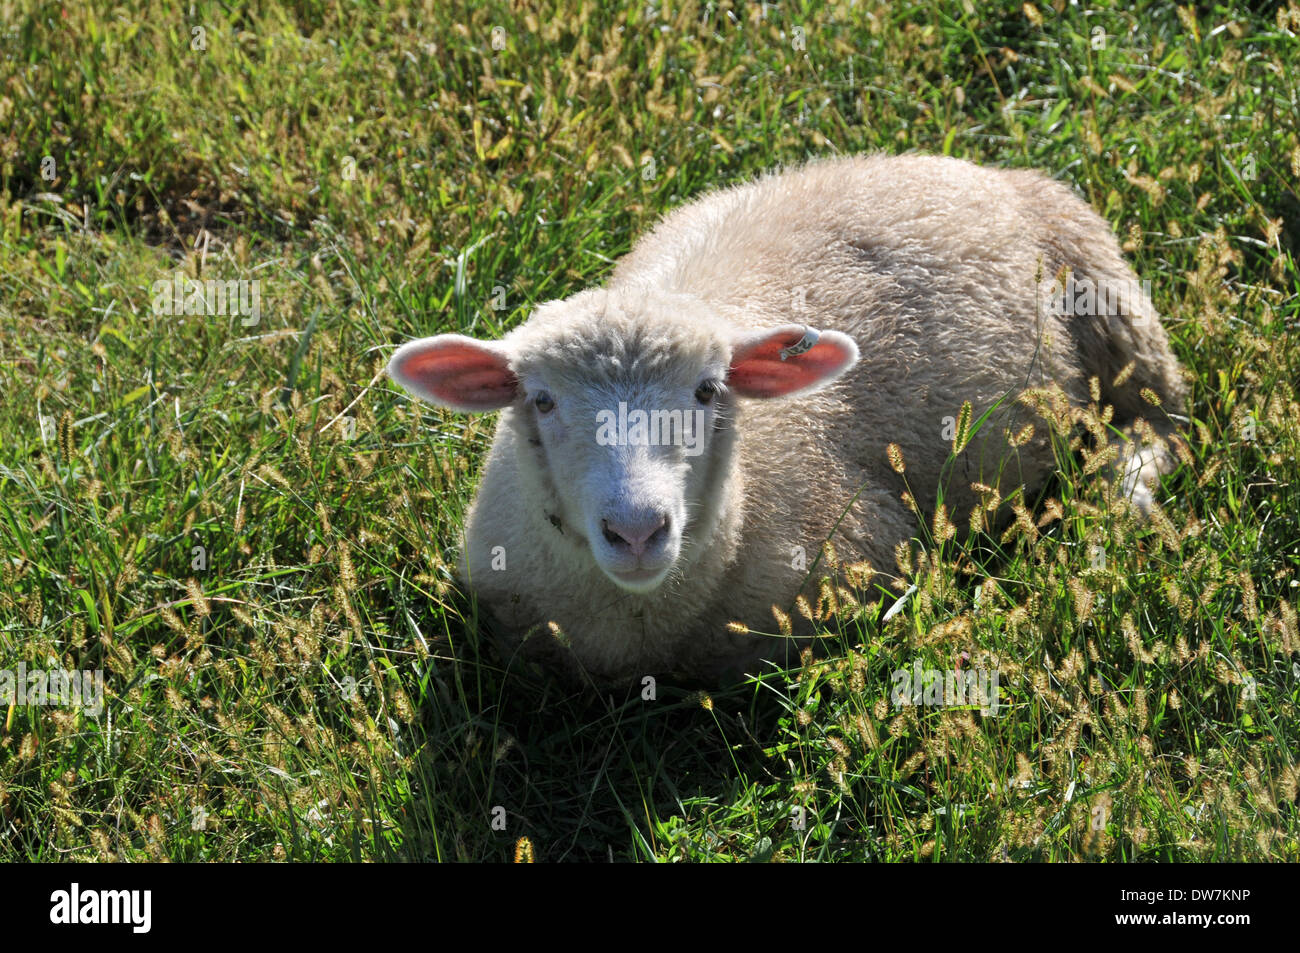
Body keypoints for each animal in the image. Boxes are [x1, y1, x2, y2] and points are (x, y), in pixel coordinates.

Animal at [388, 153, 1188, 684]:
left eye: (708, 391)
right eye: (543, 400)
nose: (638, 531)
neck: (640, 628)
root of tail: (981, 170)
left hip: (1107, 293)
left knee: (1164, 422)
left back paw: (1124, 495)